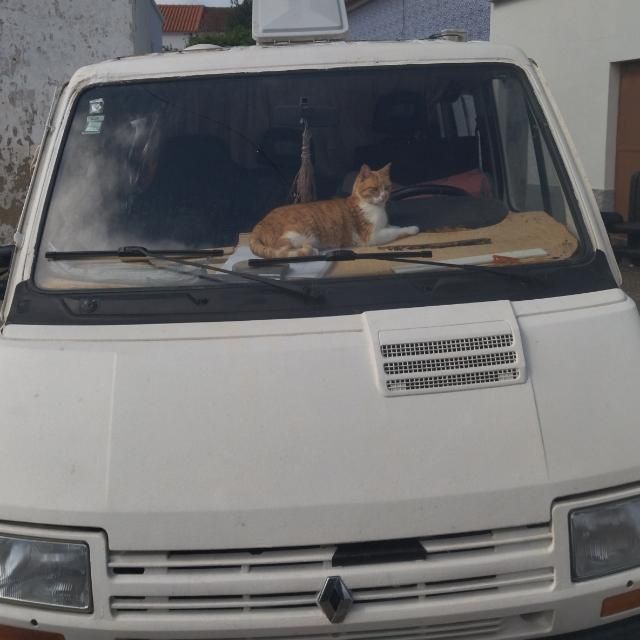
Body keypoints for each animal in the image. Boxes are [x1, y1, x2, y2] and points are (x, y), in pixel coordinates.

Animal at [249, 163, 419, 258]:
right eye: (375, 189)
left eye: (387, 188)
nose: (384, 196)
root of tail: (260, 223)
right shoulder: (371, 237)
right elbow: (397, 231)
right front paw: (412, 228)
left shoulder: (383, 227)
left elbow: (393, 227)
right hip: (300, 233)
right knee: (282, 249)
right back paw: (312, 251)